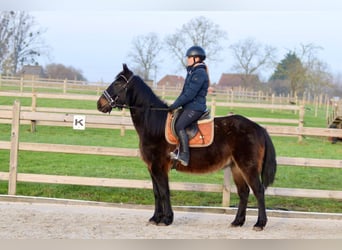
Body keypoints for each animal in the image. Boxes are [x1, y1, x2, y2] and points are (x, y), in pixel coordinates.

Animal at [97, 64, 278, 230]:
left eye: (118, 83)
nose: (100, 104)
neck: (154, 124)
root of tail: (259, 128)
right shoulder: (151, 167)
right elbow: (156, 193)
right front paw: (155, 218)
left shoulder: (159, 167)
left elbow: (164, 192)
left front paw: (167, 219)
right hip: (236, 168)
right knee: (244, 192)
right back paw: (237, 222)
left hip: (248, 167)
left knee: (258, 191)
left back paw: (260, 223)